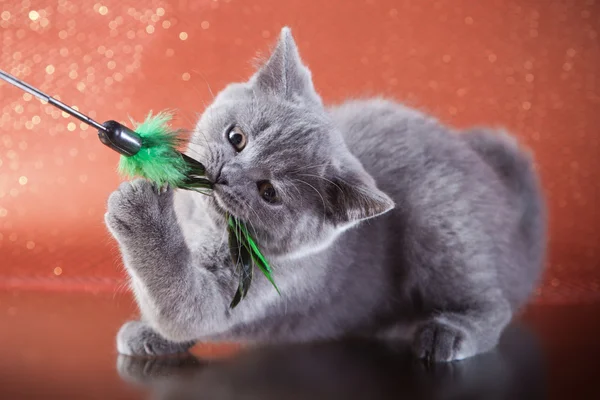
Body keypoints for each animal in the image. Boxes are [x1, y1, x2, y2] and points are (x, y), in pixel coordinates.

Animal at [105, 26, 548, 360]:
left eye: (269, 192)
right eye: (236, 138)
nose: (223, 175)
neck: (201, 226)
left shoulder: (266, 283)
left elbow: (185, 305)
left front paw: (142, 211)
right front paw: (149, 335)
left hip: (441, 217)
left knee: (492, 301)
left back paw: (449, 334)